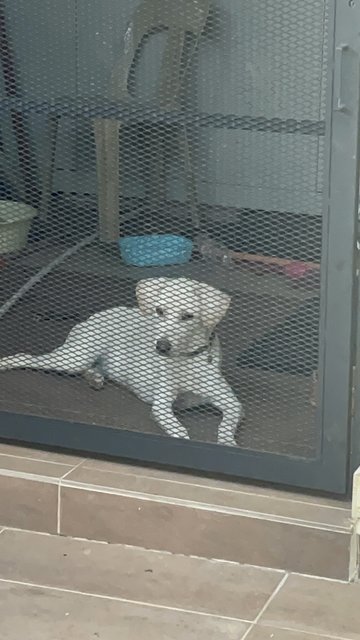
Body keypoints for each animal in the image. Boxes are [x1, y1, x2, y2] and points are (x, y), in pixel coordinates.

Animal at [0, 276, 243, 444]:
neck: (186, 361)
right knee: (27, 357)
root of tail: (94, 315)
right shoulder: (161, 406)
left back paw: (95, 378)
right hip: (72, 358)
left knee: (93, 369)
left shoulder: (233, 403)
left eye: (188, 316)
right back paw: (6, 362)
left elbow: (226, 423)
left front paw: (227, 442)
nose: (161, 347)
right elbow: (179, 430)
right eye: (159, 311)